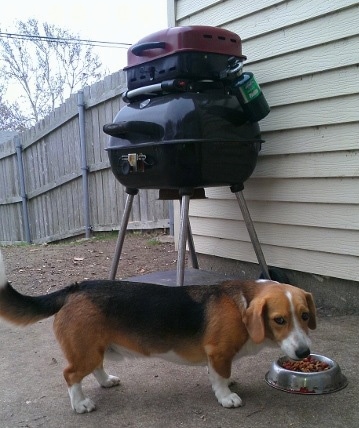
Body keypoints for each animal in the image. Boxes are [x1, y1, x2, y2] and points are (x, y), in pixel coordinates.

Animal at [0, 249, 316, 412]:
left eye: (304, 316)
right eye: (279, 320)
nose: (304, 352)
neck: (243, 303)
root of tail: (74, 289)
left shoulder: (217, 357)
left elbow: (219, 373)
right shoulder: (218, 353)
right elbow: (220, 378)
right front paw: (226, 396)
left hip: (95, 348)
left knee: (95, 368)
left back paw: (106, 381)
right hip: (85, 352)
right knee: (70, 375)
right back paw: (80, 404)